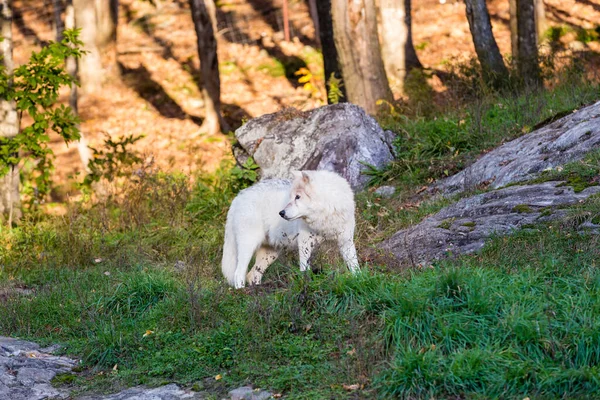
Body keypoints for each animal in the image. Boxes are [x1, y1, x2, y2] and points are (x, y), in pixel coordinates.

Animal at [221, 170, 358, 290]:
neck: (326, 217)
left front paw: (358, 280)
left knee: (252, 274)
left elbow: (355, 266)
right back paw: (241, 292)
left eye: (298, 197)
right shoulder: (304, 243)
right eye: (290, 197)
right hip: (248, 247)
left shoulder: (346, 243)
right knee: (238, 273)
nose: (281, 213)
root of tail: (238, 197)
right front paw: (306, 285)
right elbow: (305, 269)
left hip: (270, 254)